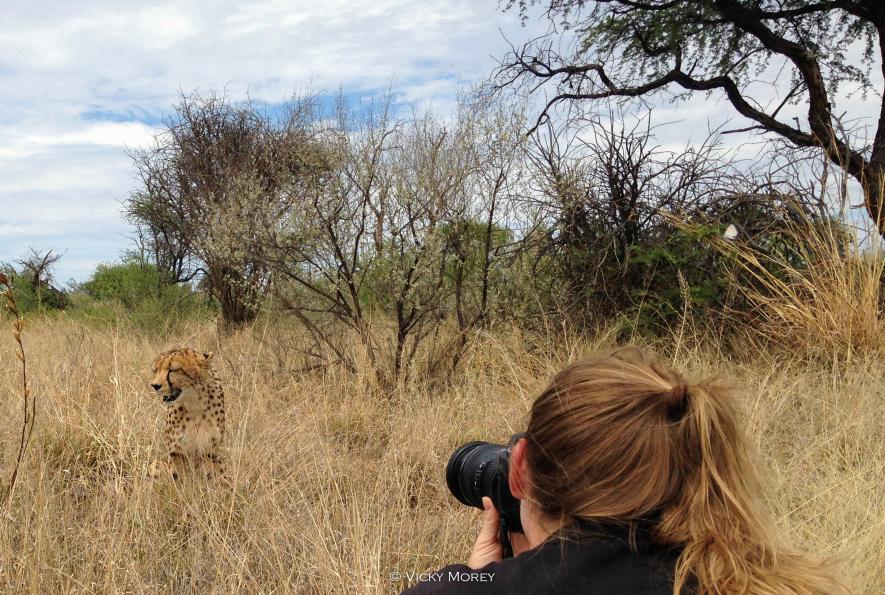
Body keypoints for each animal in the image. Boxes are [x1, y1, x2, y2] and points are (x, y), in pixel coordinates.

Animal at [148, 350, 226, 480]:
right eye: (156, 370)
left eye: (173, 370)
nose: (155, 385)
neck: (196, 404)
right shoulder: (177, 452)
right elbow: (178, 478)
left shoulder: (211, 452)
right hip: (157, 463)